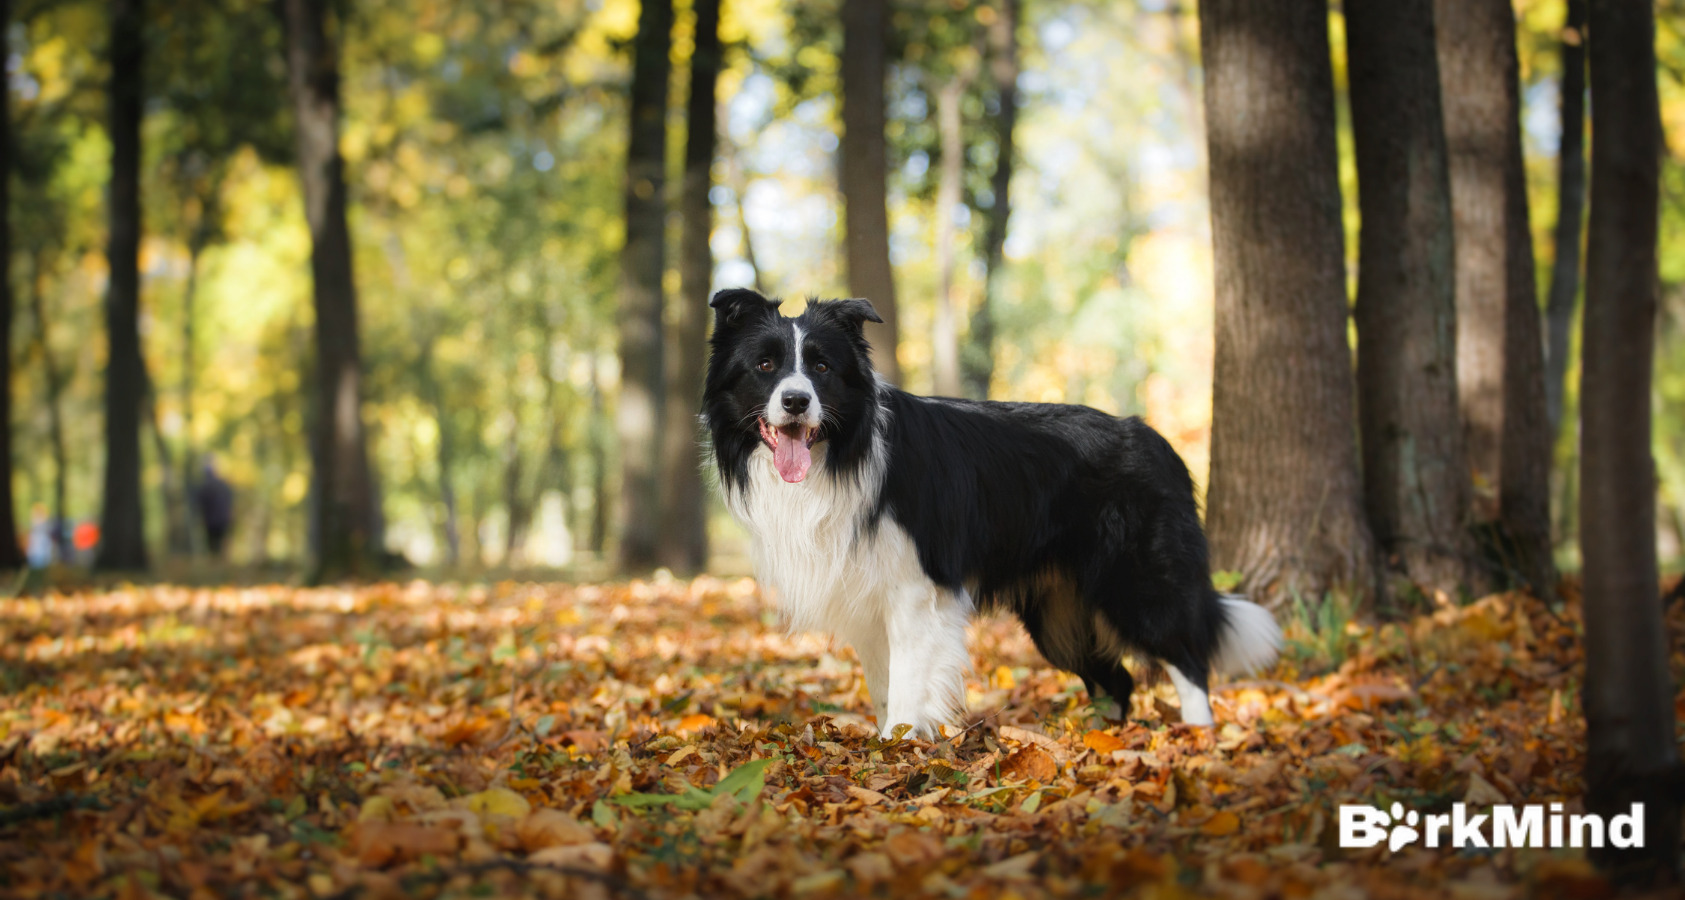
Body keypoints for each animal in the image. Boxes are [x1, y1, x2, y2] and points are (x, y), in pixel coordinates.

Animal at [704, 291, 1280, 741]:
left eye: (821, 367)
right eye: (765, 366)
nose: (796, 402)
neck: (844, 453)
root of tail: (1156, 439)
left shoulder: (915, 591)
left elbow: (908, 686)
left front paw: (896, 751)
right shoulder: (866, 598)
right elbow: (884, 687)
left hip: (1138, 582)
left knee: (1188, 661)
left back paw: (1199, 739)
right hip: (1058, 616)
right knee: (1117, 681)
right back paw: (1101, 744)